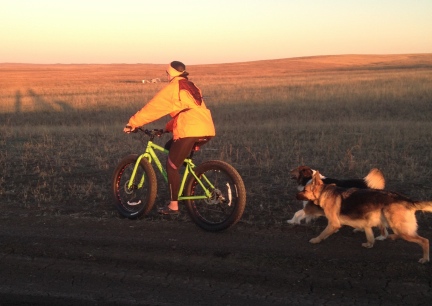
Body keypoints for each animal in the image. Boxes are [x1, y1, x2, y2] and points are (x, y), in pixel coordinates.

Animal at [296, 172, 432, 262]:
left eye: (305, 190)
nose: (295, 195)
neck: (324, 192)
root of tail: (407, 200)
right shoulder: (366, 224)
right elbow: (370, 236)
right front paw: (369, 244)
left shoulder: (334, 223)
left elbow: (323, 233)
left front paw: (315, 240)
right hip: (397, 226)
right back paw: (392, 237)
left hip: (399, 226)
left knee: (424, 240)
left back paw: (425, 258)